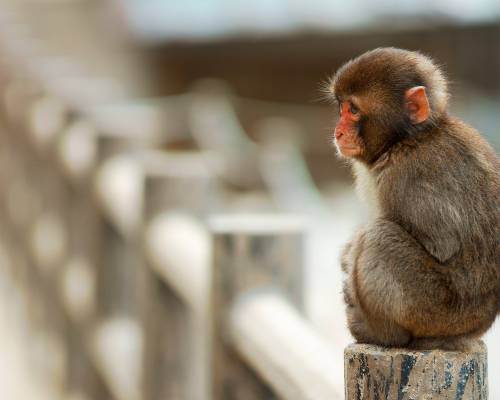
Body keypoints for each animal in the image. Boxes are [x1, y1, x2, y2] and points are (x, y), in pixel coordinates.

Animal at [328, 48, 500, 352]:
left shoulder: (406, 177)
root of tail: (475, 328)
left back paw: (381, 334)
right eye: (341, 107)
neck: (406, 140)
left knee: (379, 237)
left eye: (354, 110)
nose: (338, 131)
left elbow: (442, 244)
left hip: (436, 312)